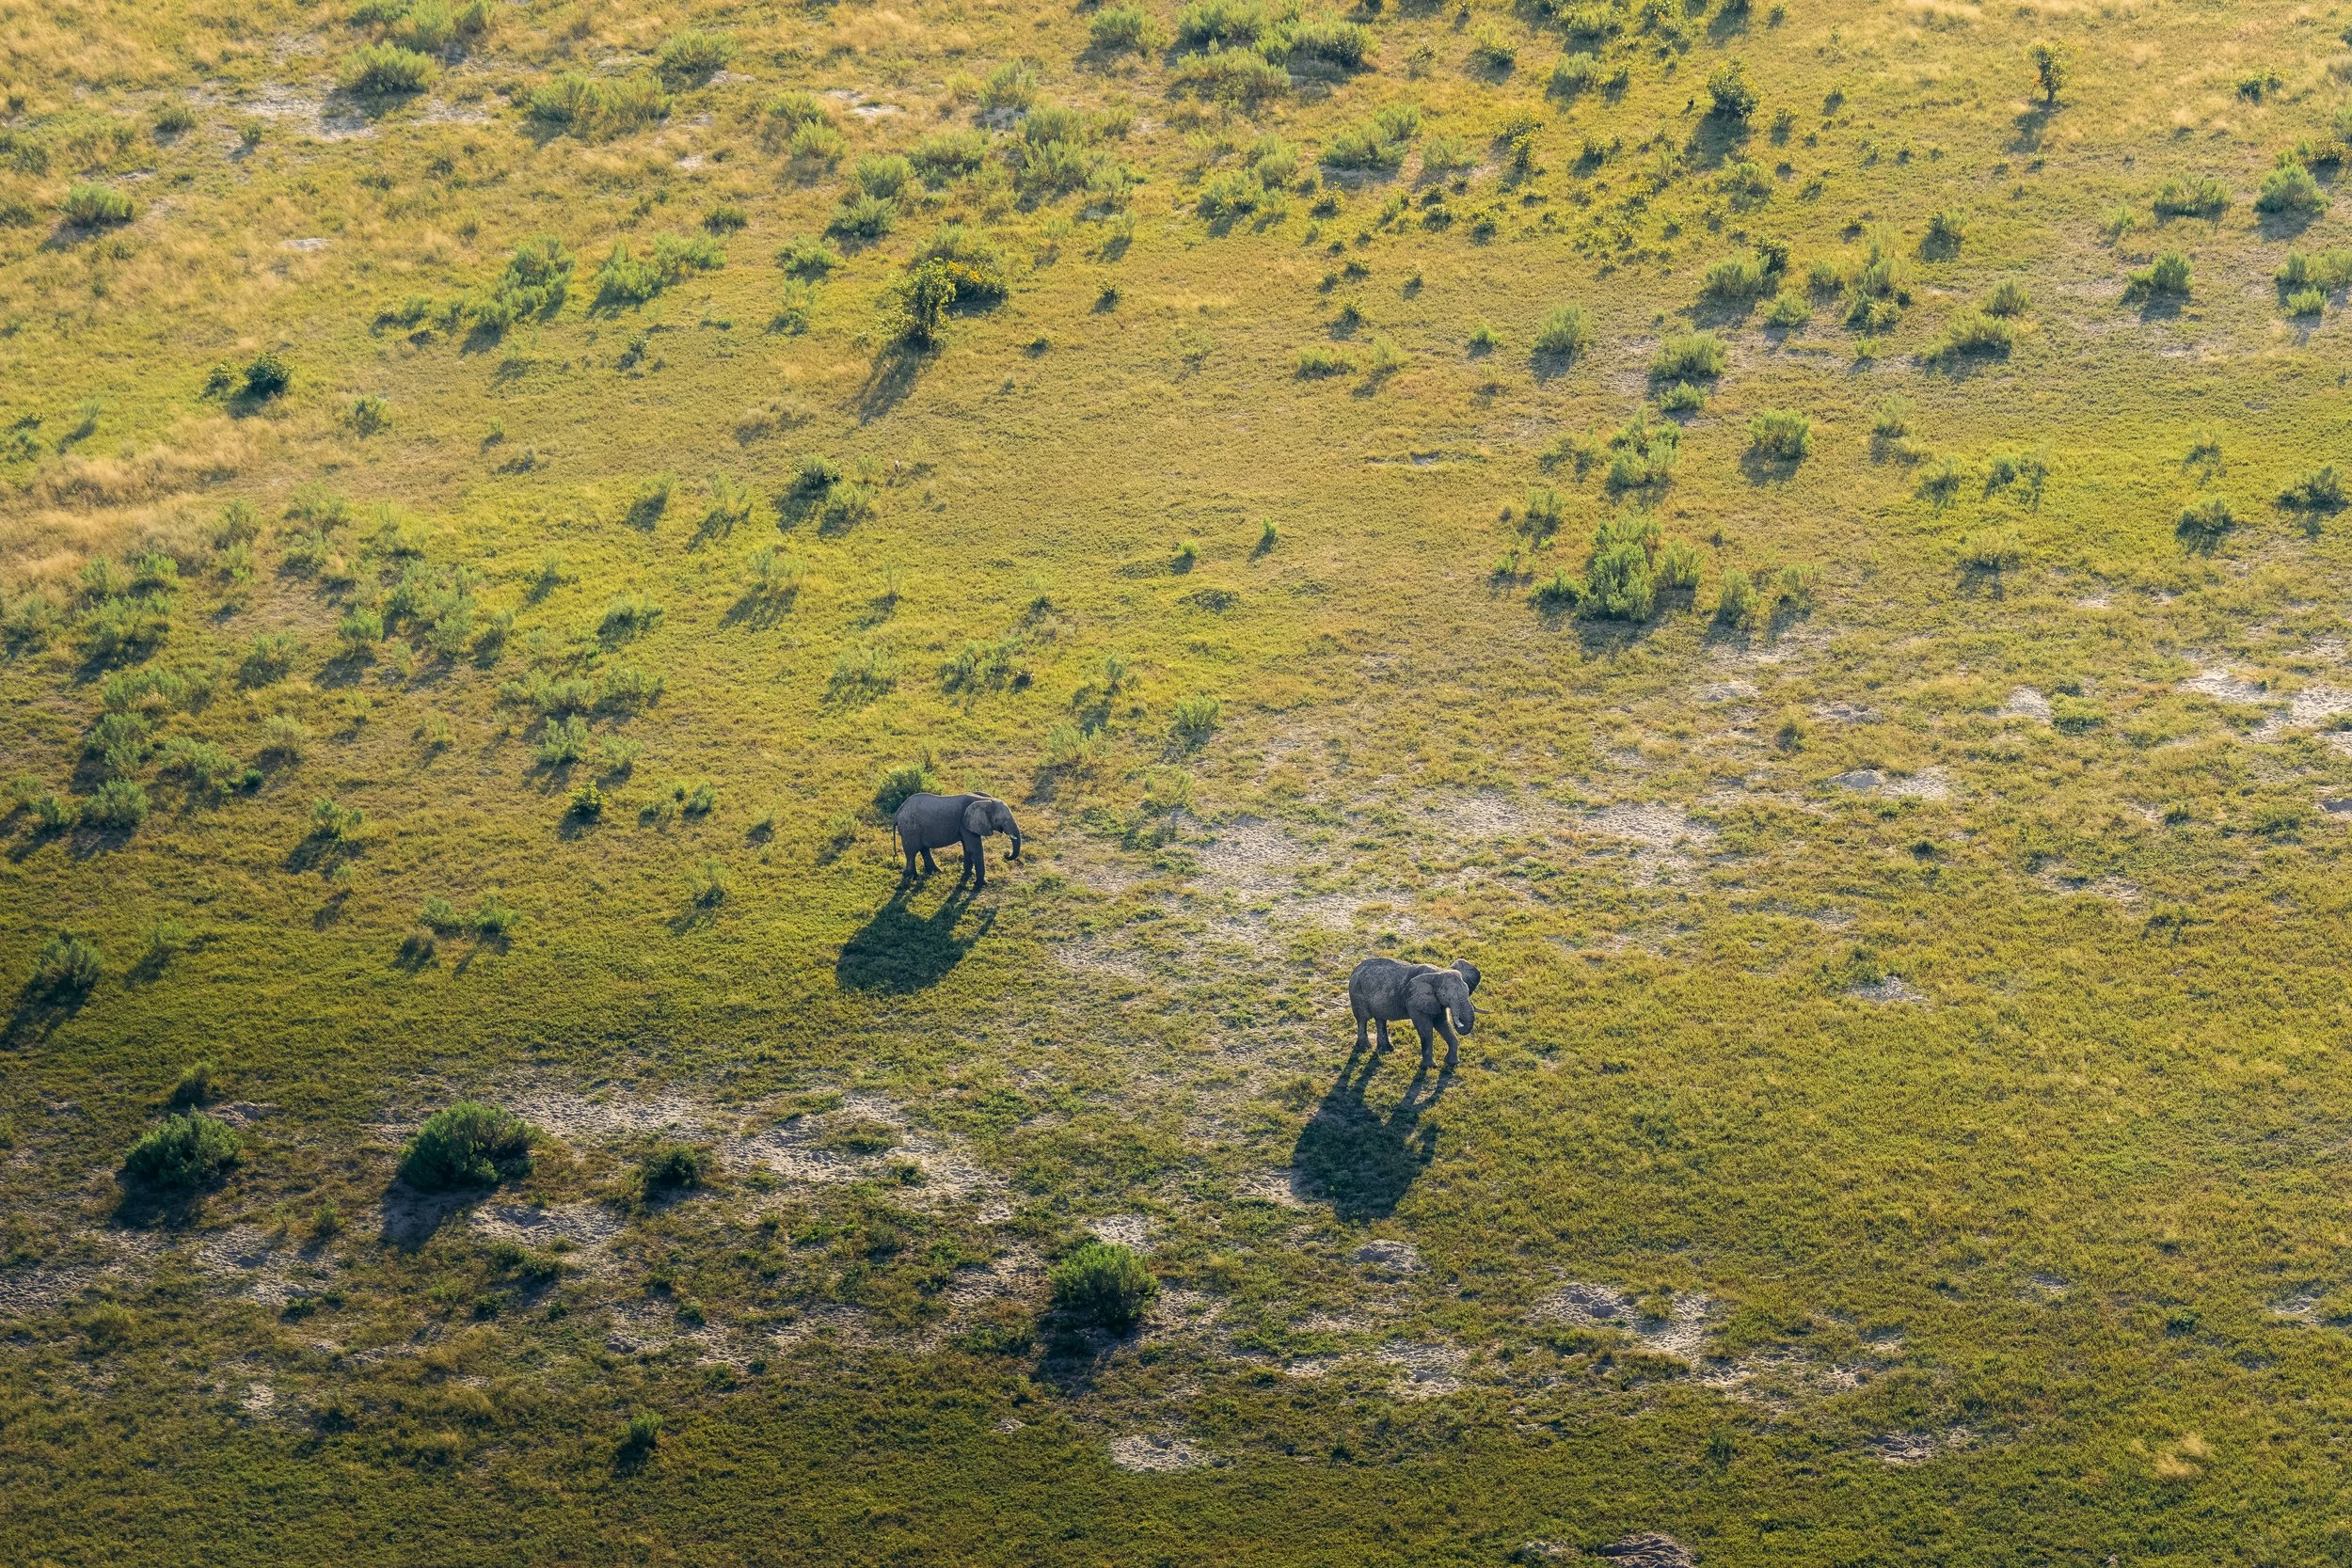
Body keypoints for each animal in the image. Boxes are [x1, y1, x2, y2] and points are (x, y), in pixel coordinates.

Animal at [893, 791, 1023, 890]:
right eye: (1000, 820)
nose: (1006, 854)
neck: (985, 800)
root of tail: (898, 813)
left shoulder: (966, 825)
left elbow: (967, 847)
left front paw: (967, 876)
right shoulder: (965, 824)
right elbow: (974, 848)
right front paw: (981, 885)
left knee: (924, 849)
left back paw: (935, 872)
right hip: (910, 828)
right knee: (912, 852)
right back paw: (913, 877)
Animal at [1348, 957, 1480, 1071]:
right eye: (1447, 996)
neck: (1438, 973)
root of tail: (1355, 968)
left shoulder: (1436, 1001)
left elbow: (1442, 1024)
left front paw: (1453, 1063)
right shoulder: (1414, 1001)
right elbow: (1425, 1028)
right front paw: (1430, 1067)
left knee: (1380, 1019)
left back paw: (1386, 1049)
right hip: (1357, 993)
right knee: (1363, 1018)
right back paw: (1366, 1047)